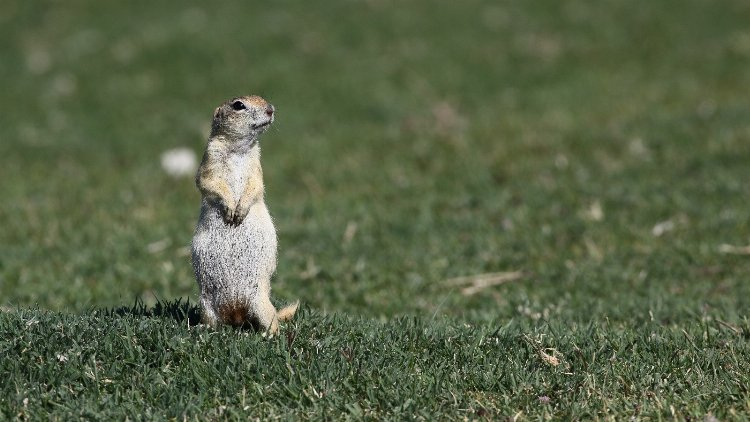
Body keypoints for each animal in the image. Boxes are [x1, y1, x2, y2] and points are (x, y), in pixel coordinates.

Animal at [191, 95, 300, 332]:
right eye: (238, 105)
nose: (271, 110)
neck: (238, 148)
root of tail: (236, 312)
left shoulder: (256, 165)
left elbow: (256, 185)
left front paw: (239, 211)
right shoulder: (210, 157)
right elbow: (207, 181)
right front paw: (230, 208)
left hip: (260, 301)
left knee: (271, 320)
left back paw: (269, 334)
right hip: (206, 303)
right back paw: (203, 329)